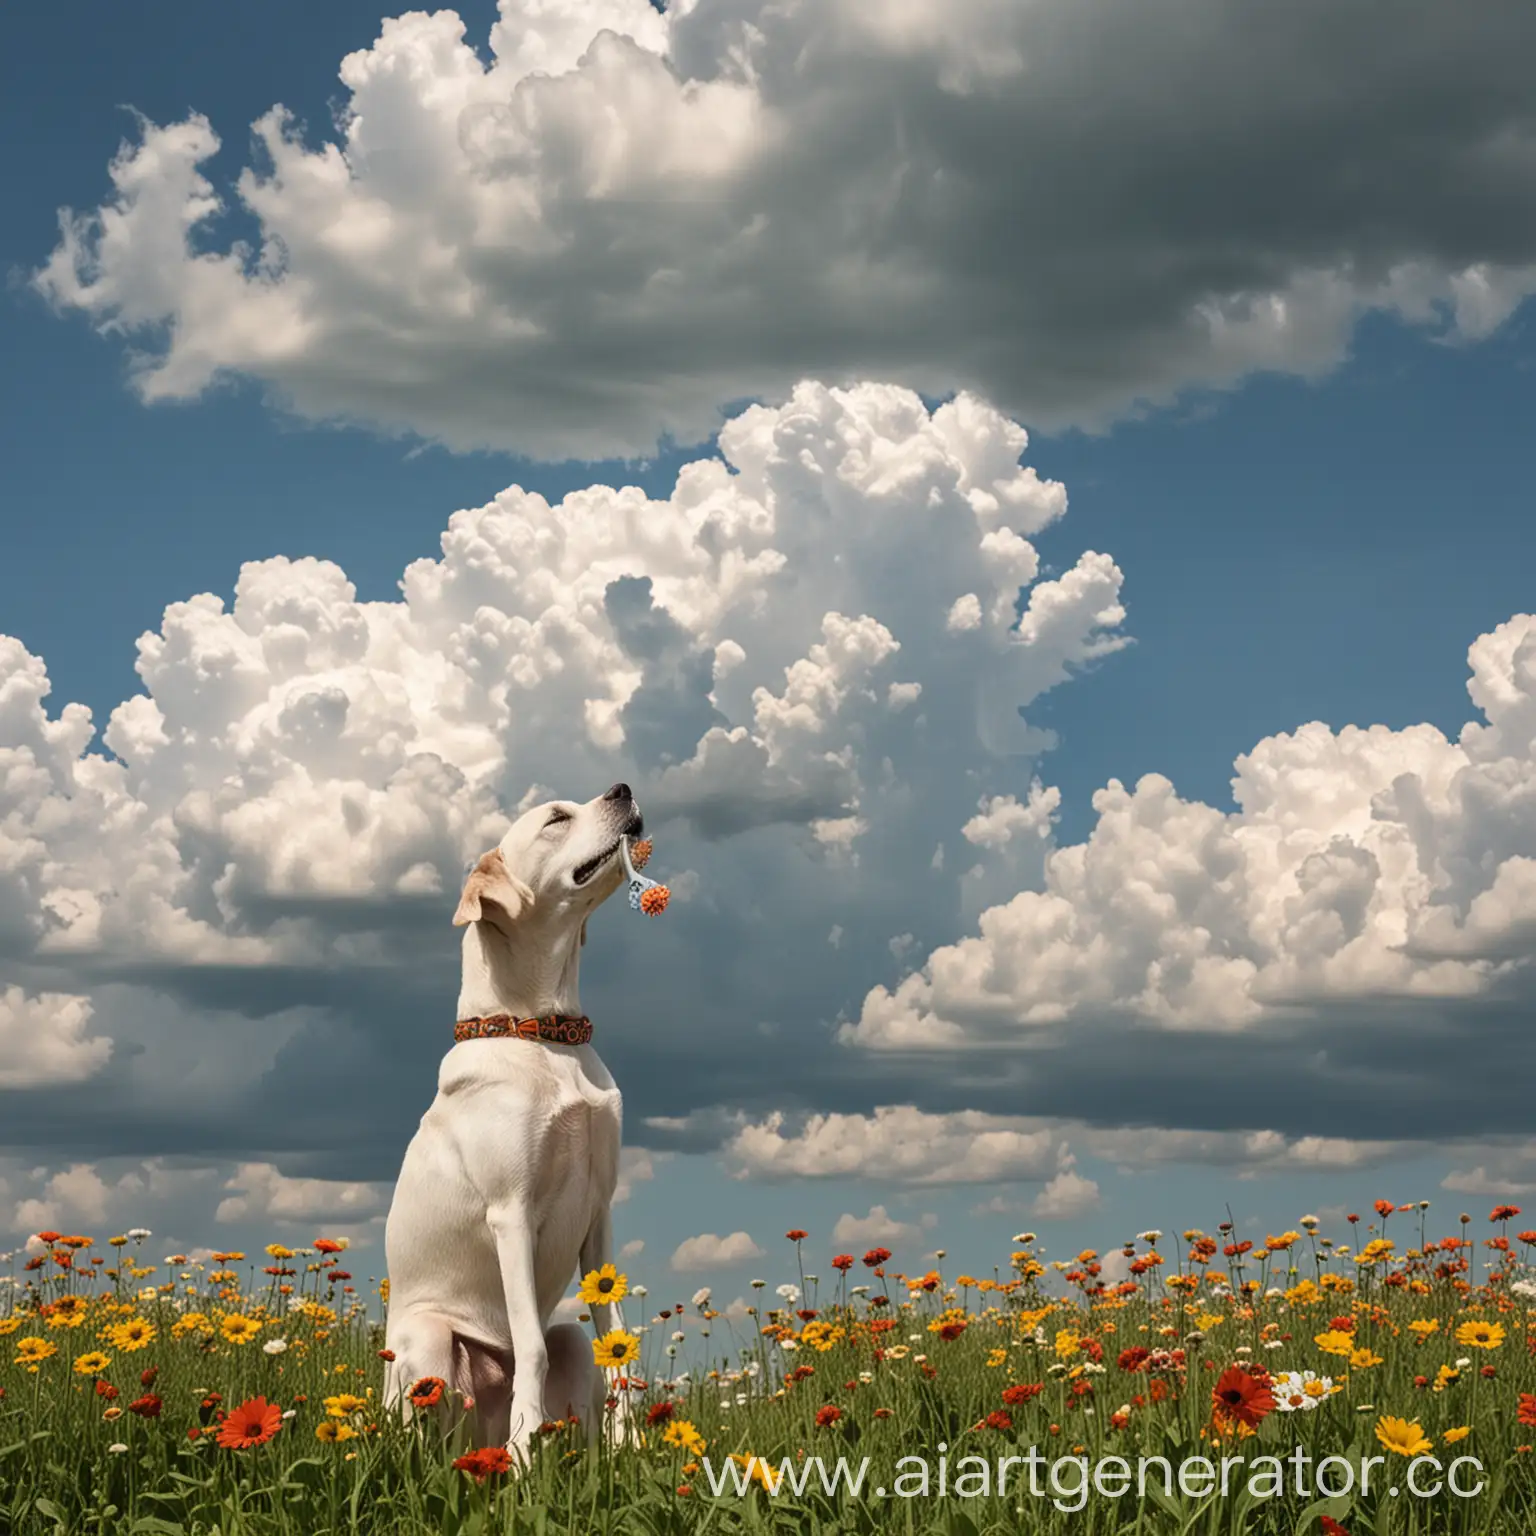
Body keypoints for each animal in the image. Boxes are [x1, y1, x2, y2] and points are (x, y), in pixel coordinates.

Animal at [387, 780, 645, 1462]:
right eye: (557, 819)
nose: (624, 788)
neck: (544, 1035)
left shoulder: (600, 1216)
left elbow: (618, 1345)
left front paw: (637, 1446)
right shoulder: (512, 1212)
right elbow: (527, 1343)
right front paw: (527, 1449)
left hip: (569, 1340)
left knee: (579, 1350)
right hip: (426, 1338)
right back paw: (500, 1451)